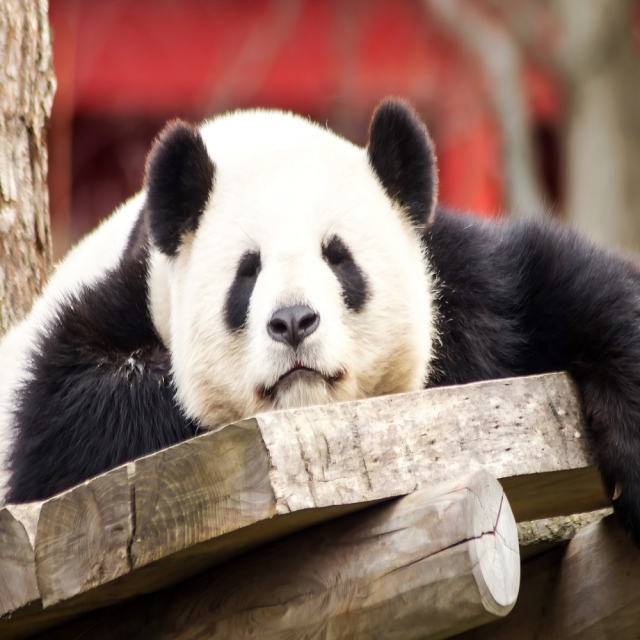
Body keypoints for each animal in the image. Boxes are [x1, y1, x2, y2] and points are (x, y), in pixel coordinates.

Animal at [1, 98, 640, 546]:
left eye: (338, 257)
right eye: (248, 271)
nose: (292, 322)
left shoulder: (467, 291)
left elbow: (557, 289)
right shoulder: (130, 298)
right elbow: (63, 424)